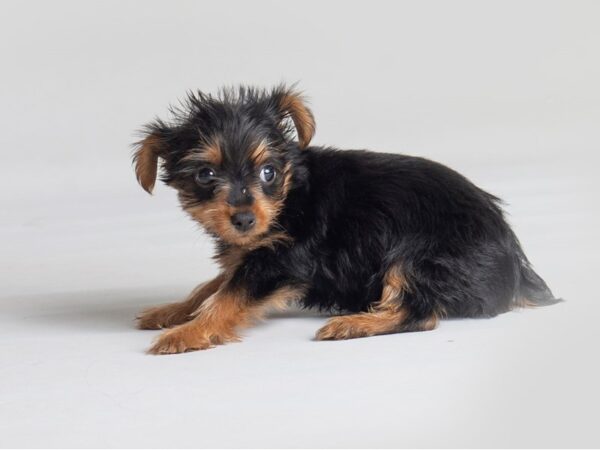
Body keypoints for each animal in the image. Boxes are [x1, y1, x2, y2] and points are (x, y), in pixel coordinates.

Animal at [132, 85, 556, 356]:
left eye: (269, 172)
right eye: (205, 176)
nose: (244, 219)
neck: (290, 195)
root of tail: (516, 265)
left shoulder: (280, 260)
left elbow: (227, 296)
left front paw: (189, 332)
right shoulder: (252, 253)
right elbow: (213, 285)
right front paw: (172, 312)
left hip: (417, 258)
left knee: (419, 314)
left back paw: (353, 323)